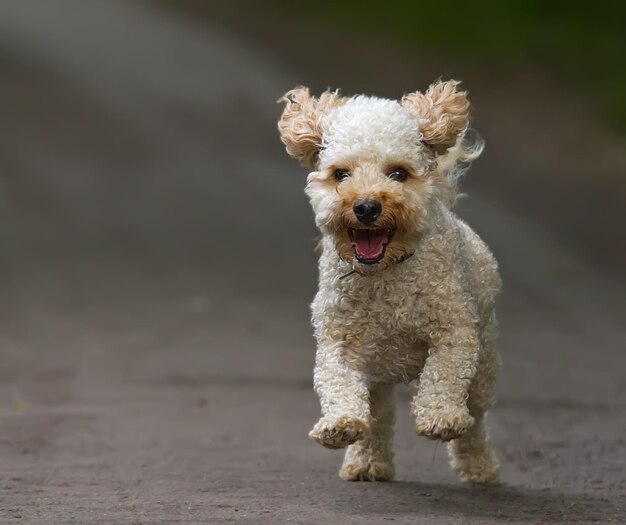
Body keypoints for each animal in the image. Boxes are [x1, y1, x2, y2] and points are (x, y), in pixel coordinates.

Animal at [276, 80, 500, 482]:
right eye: (341, 174)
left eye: (398, 173)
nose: (366, 206)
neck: (384, 273)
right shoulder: (339, 339)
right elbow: (336, 379)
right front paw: (339, 424)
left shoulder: (454, 327)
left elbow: (445, 372)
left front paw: (440, 416)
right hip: (377, 374)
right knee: (379, 413)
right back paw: (366, 462)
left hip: (485, 362)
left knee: (475, 416)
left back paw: (478, 466)